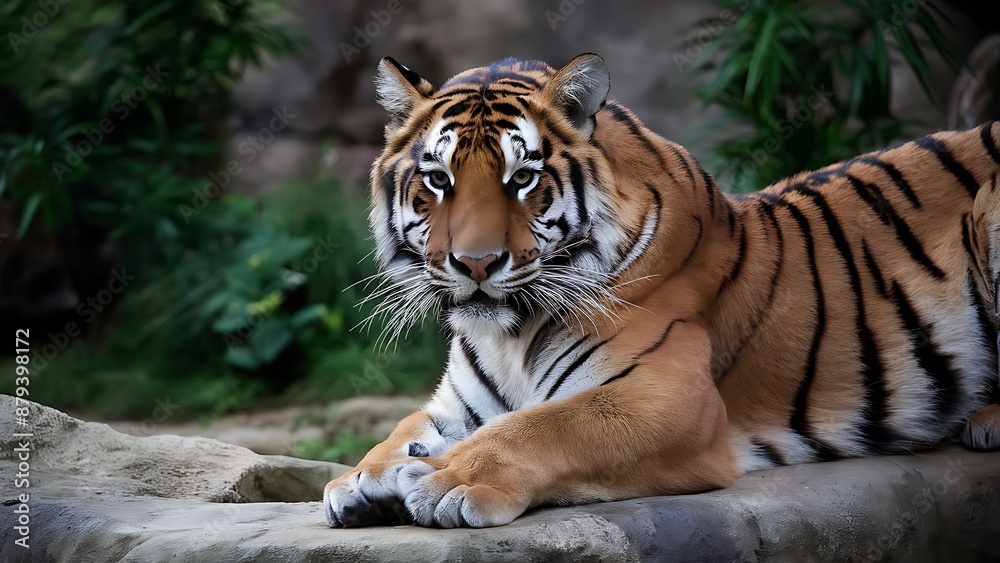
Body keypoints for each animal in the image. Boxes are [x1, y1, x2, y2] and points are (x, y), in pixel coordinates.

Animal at [323, 53, 1000, 529]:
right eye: (439, 180)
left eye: (523, 179)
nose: (476, 262)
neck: (506, 337)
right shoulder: (461, 403)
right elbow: (408, 425)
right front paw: (367, 476)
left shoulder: (671, 398)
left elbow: (540, 428)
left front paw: (444, 482)